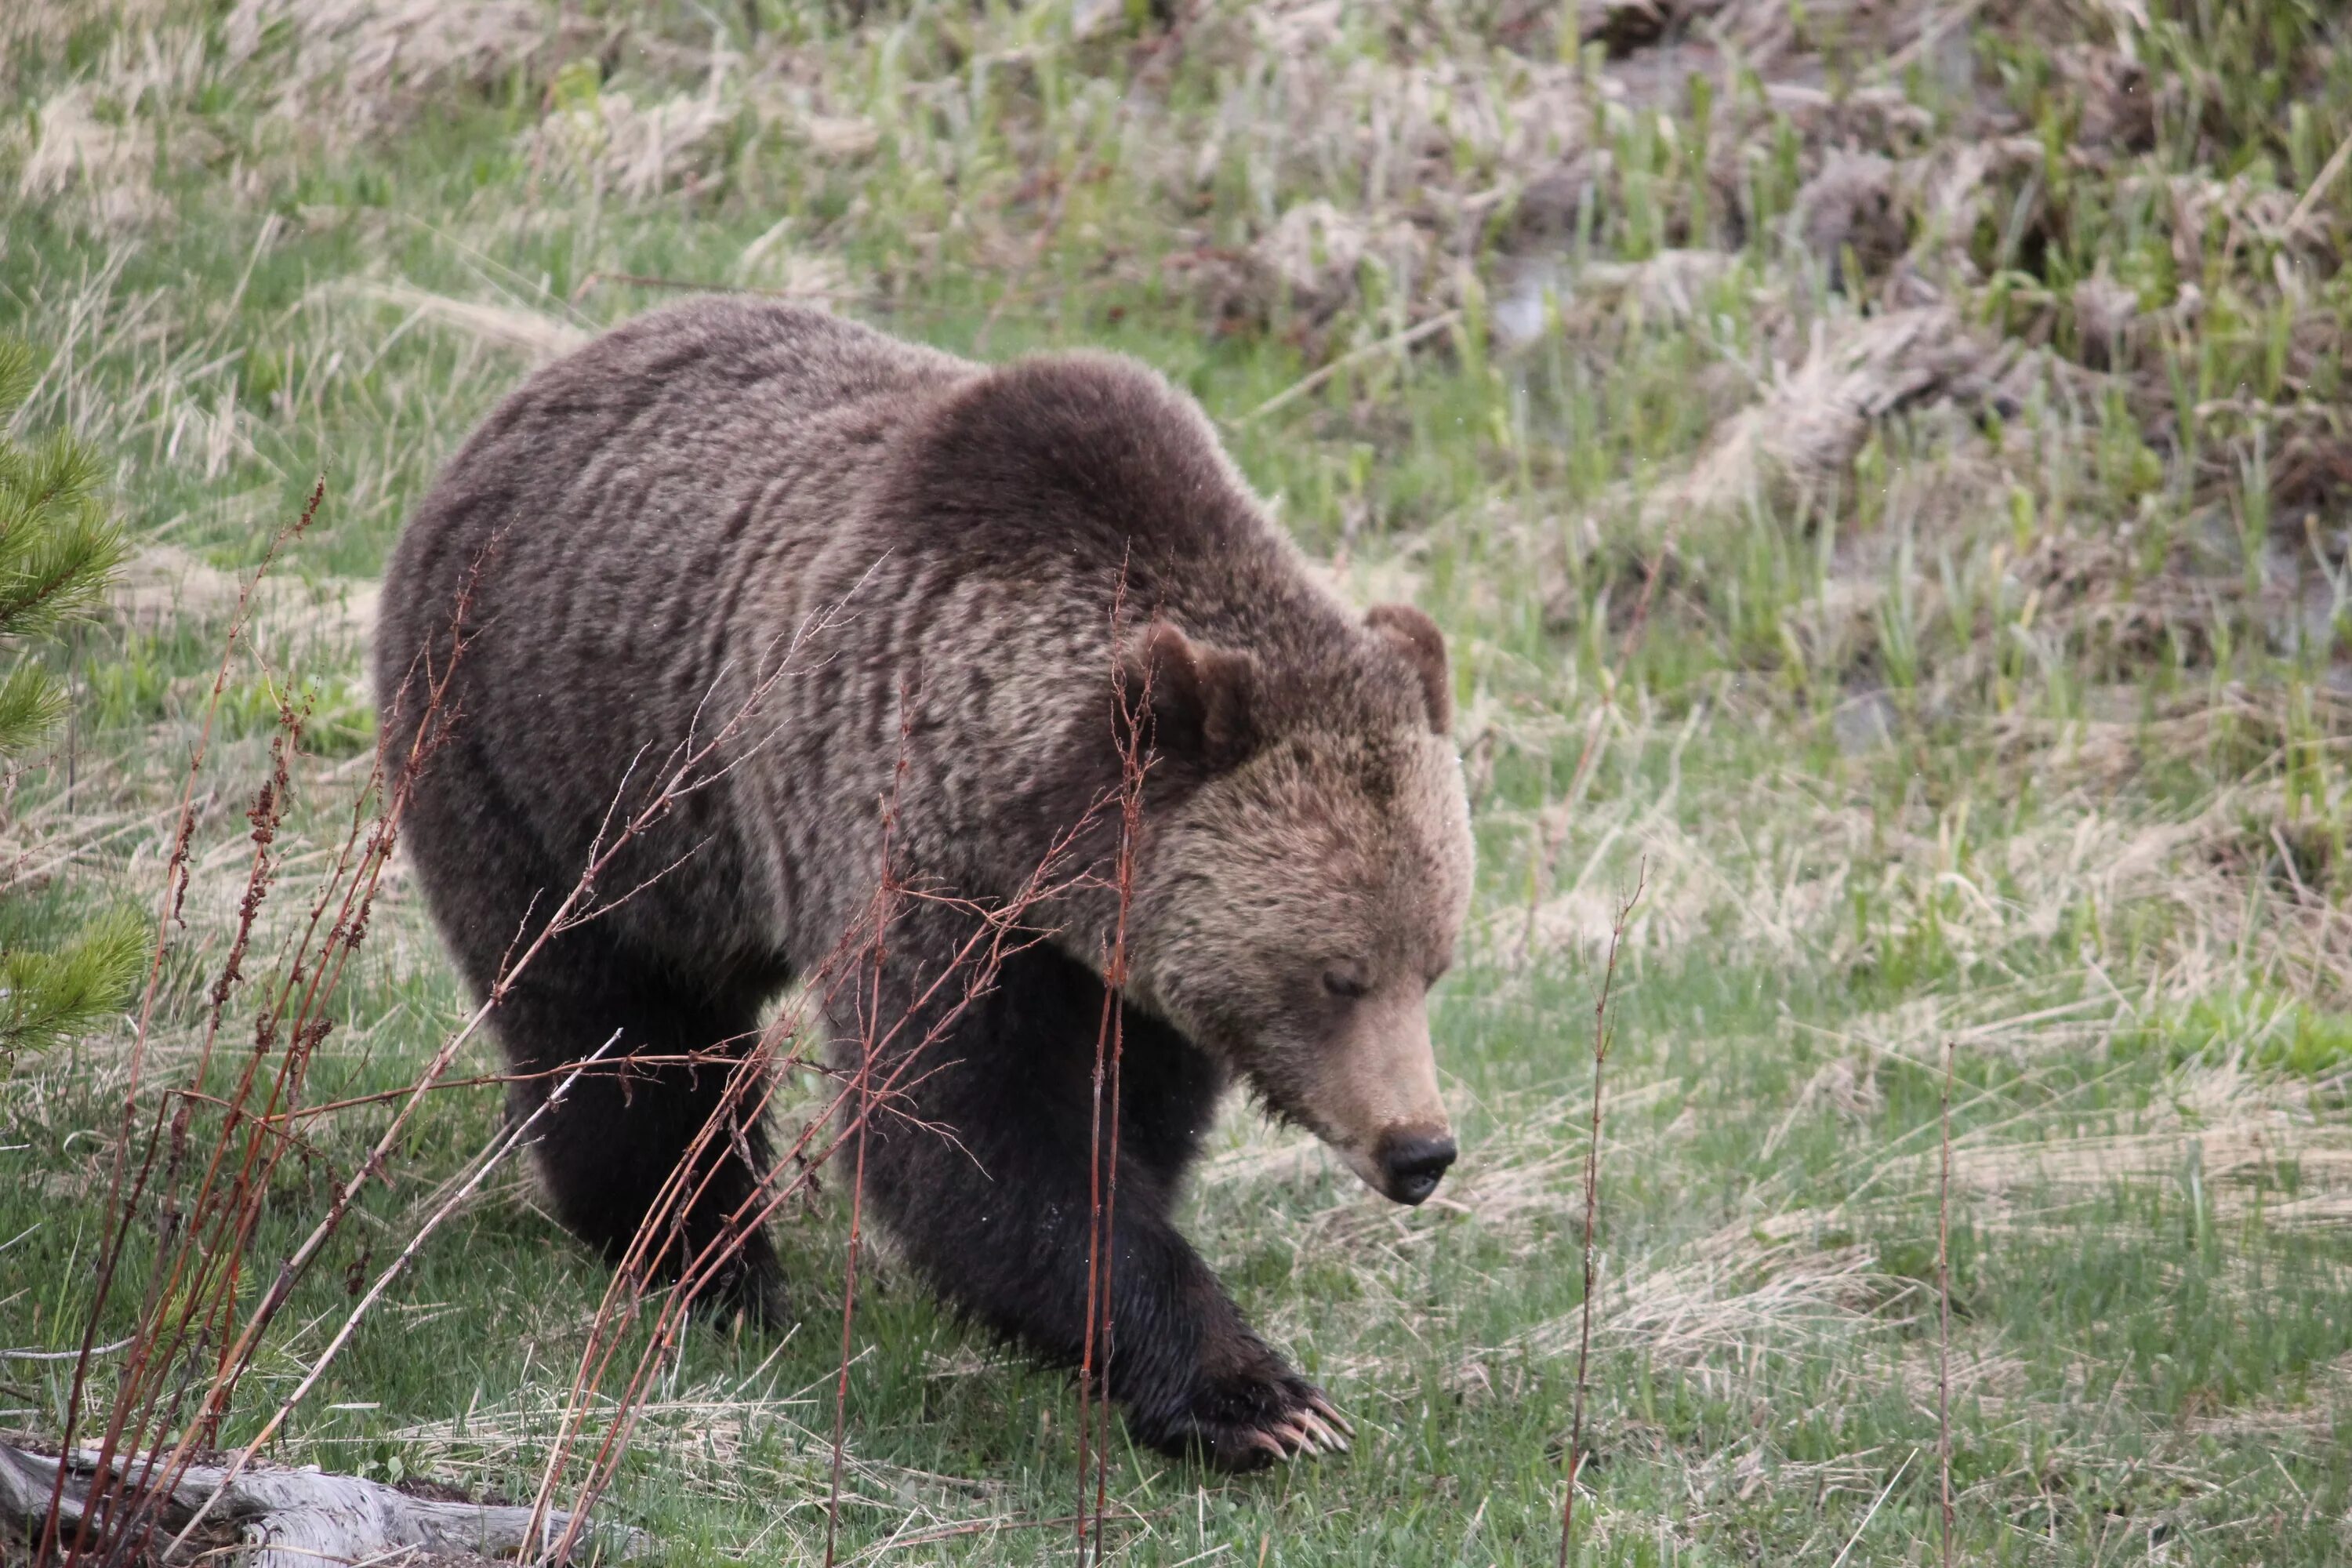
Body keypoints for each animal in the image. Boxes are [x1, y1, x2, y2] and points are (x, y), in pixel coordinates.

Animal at [367, 297, 1468, 1476]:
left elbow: (1119, 1115)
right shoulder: (911, 842)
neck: (1030, 816)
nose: (1421, 1149)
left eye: (1432, 967)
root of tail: (528, 395)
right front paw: (1264, 1399)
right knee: (616, 1033)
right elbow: (965, 1128)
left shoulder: (1113, 958)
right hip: (546, 765)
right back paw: (706, 1263)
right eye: (1338, 976)